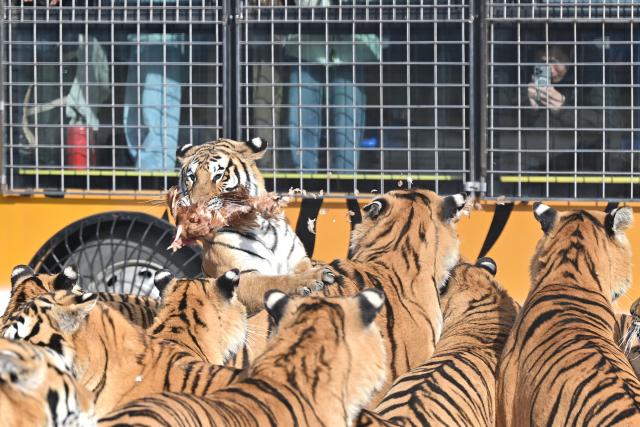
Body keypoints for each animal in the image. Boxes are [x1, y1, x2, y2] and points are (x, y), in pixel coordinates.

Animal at [172, 137, 335, 314]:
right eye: (192, 177)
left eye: (218, 175)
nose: (195, 206)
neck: (259, 224)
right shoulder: (242, 275)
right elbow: (277, 281)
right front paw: (312, 278)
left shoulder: (298, 261)